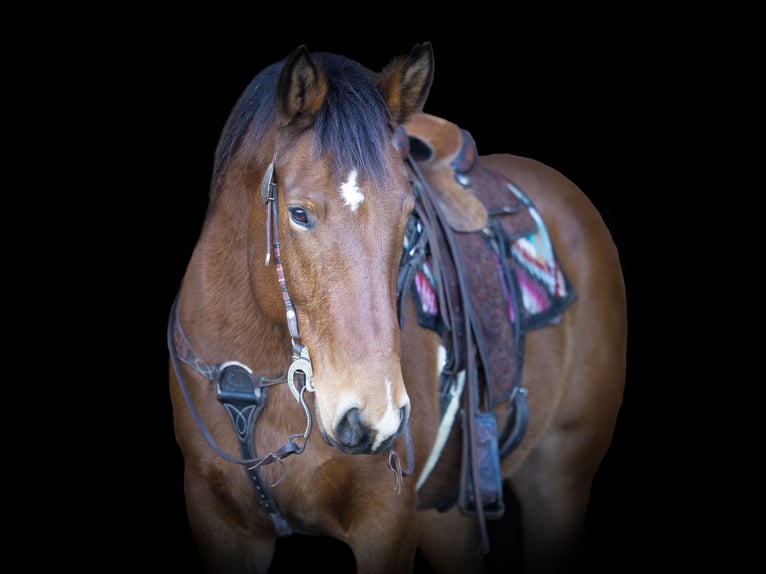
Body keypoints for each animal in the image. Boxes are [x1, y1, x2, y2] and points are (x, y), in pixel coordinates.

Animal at [166, 41, 624, 574]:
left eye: (408, 216)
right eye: (298, 214)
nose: (373, 417)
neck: (253, 379)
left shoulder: (386, 523)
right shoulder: (220, 522)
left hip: (558, 480)